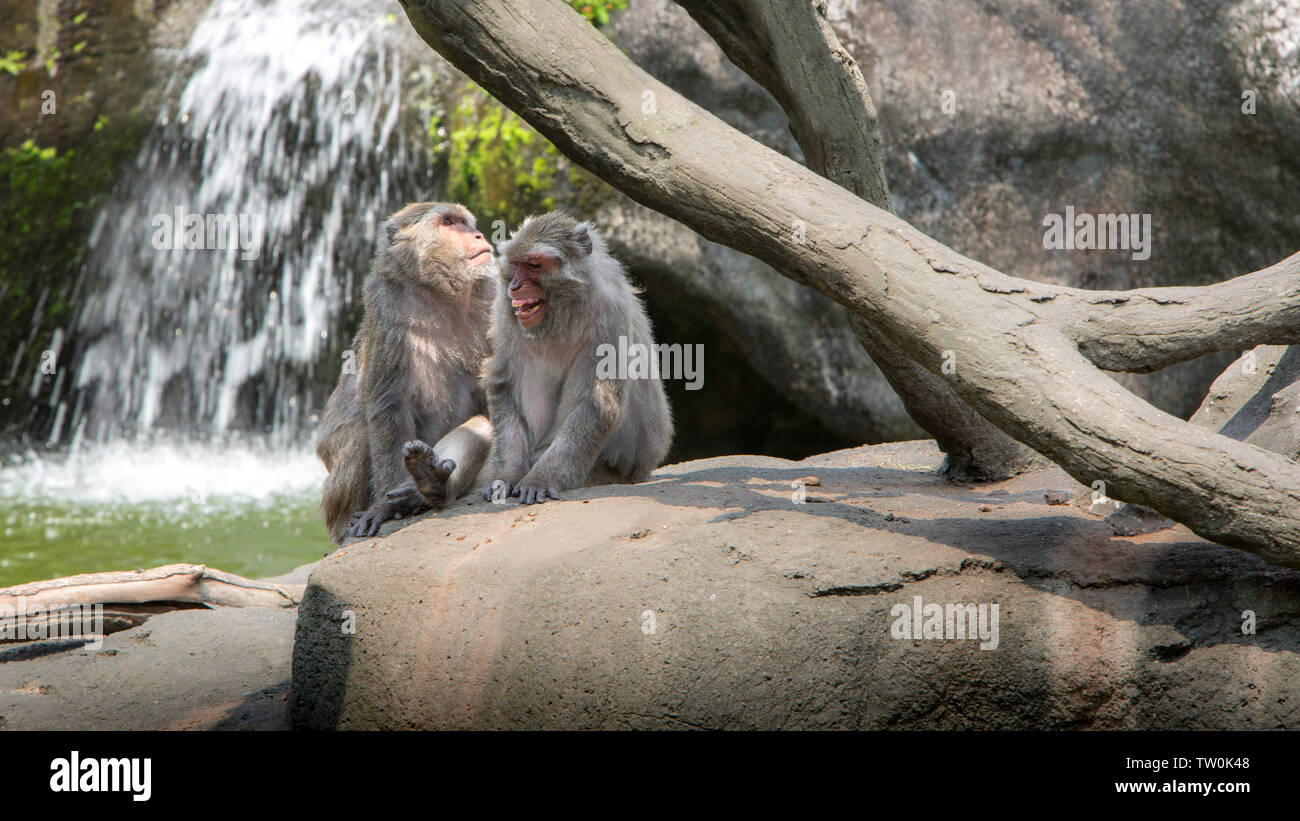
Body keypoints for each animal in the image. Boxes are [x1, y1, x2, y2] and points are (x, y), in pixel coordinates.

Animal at [317, 202, 493, 543]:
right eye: (448, 222)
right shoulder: (388, 313)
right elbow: (388, 408)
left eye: (465, 222)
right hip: (335, 501)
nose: (478, 234)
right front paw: (383, 509)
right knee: (362, 434)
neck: (440, 293)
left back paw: (428, 486)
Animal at [418, 210, 670, 506]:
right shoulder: (503, 309)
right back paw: (428, 481)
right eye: (515, 265)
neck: (563, 311)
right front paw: (507, 475)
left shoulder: (610, 310)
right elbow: (503, 382)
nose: (515, 286)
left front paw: (542, 478)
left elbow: (599, 403)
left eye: (534, 265)